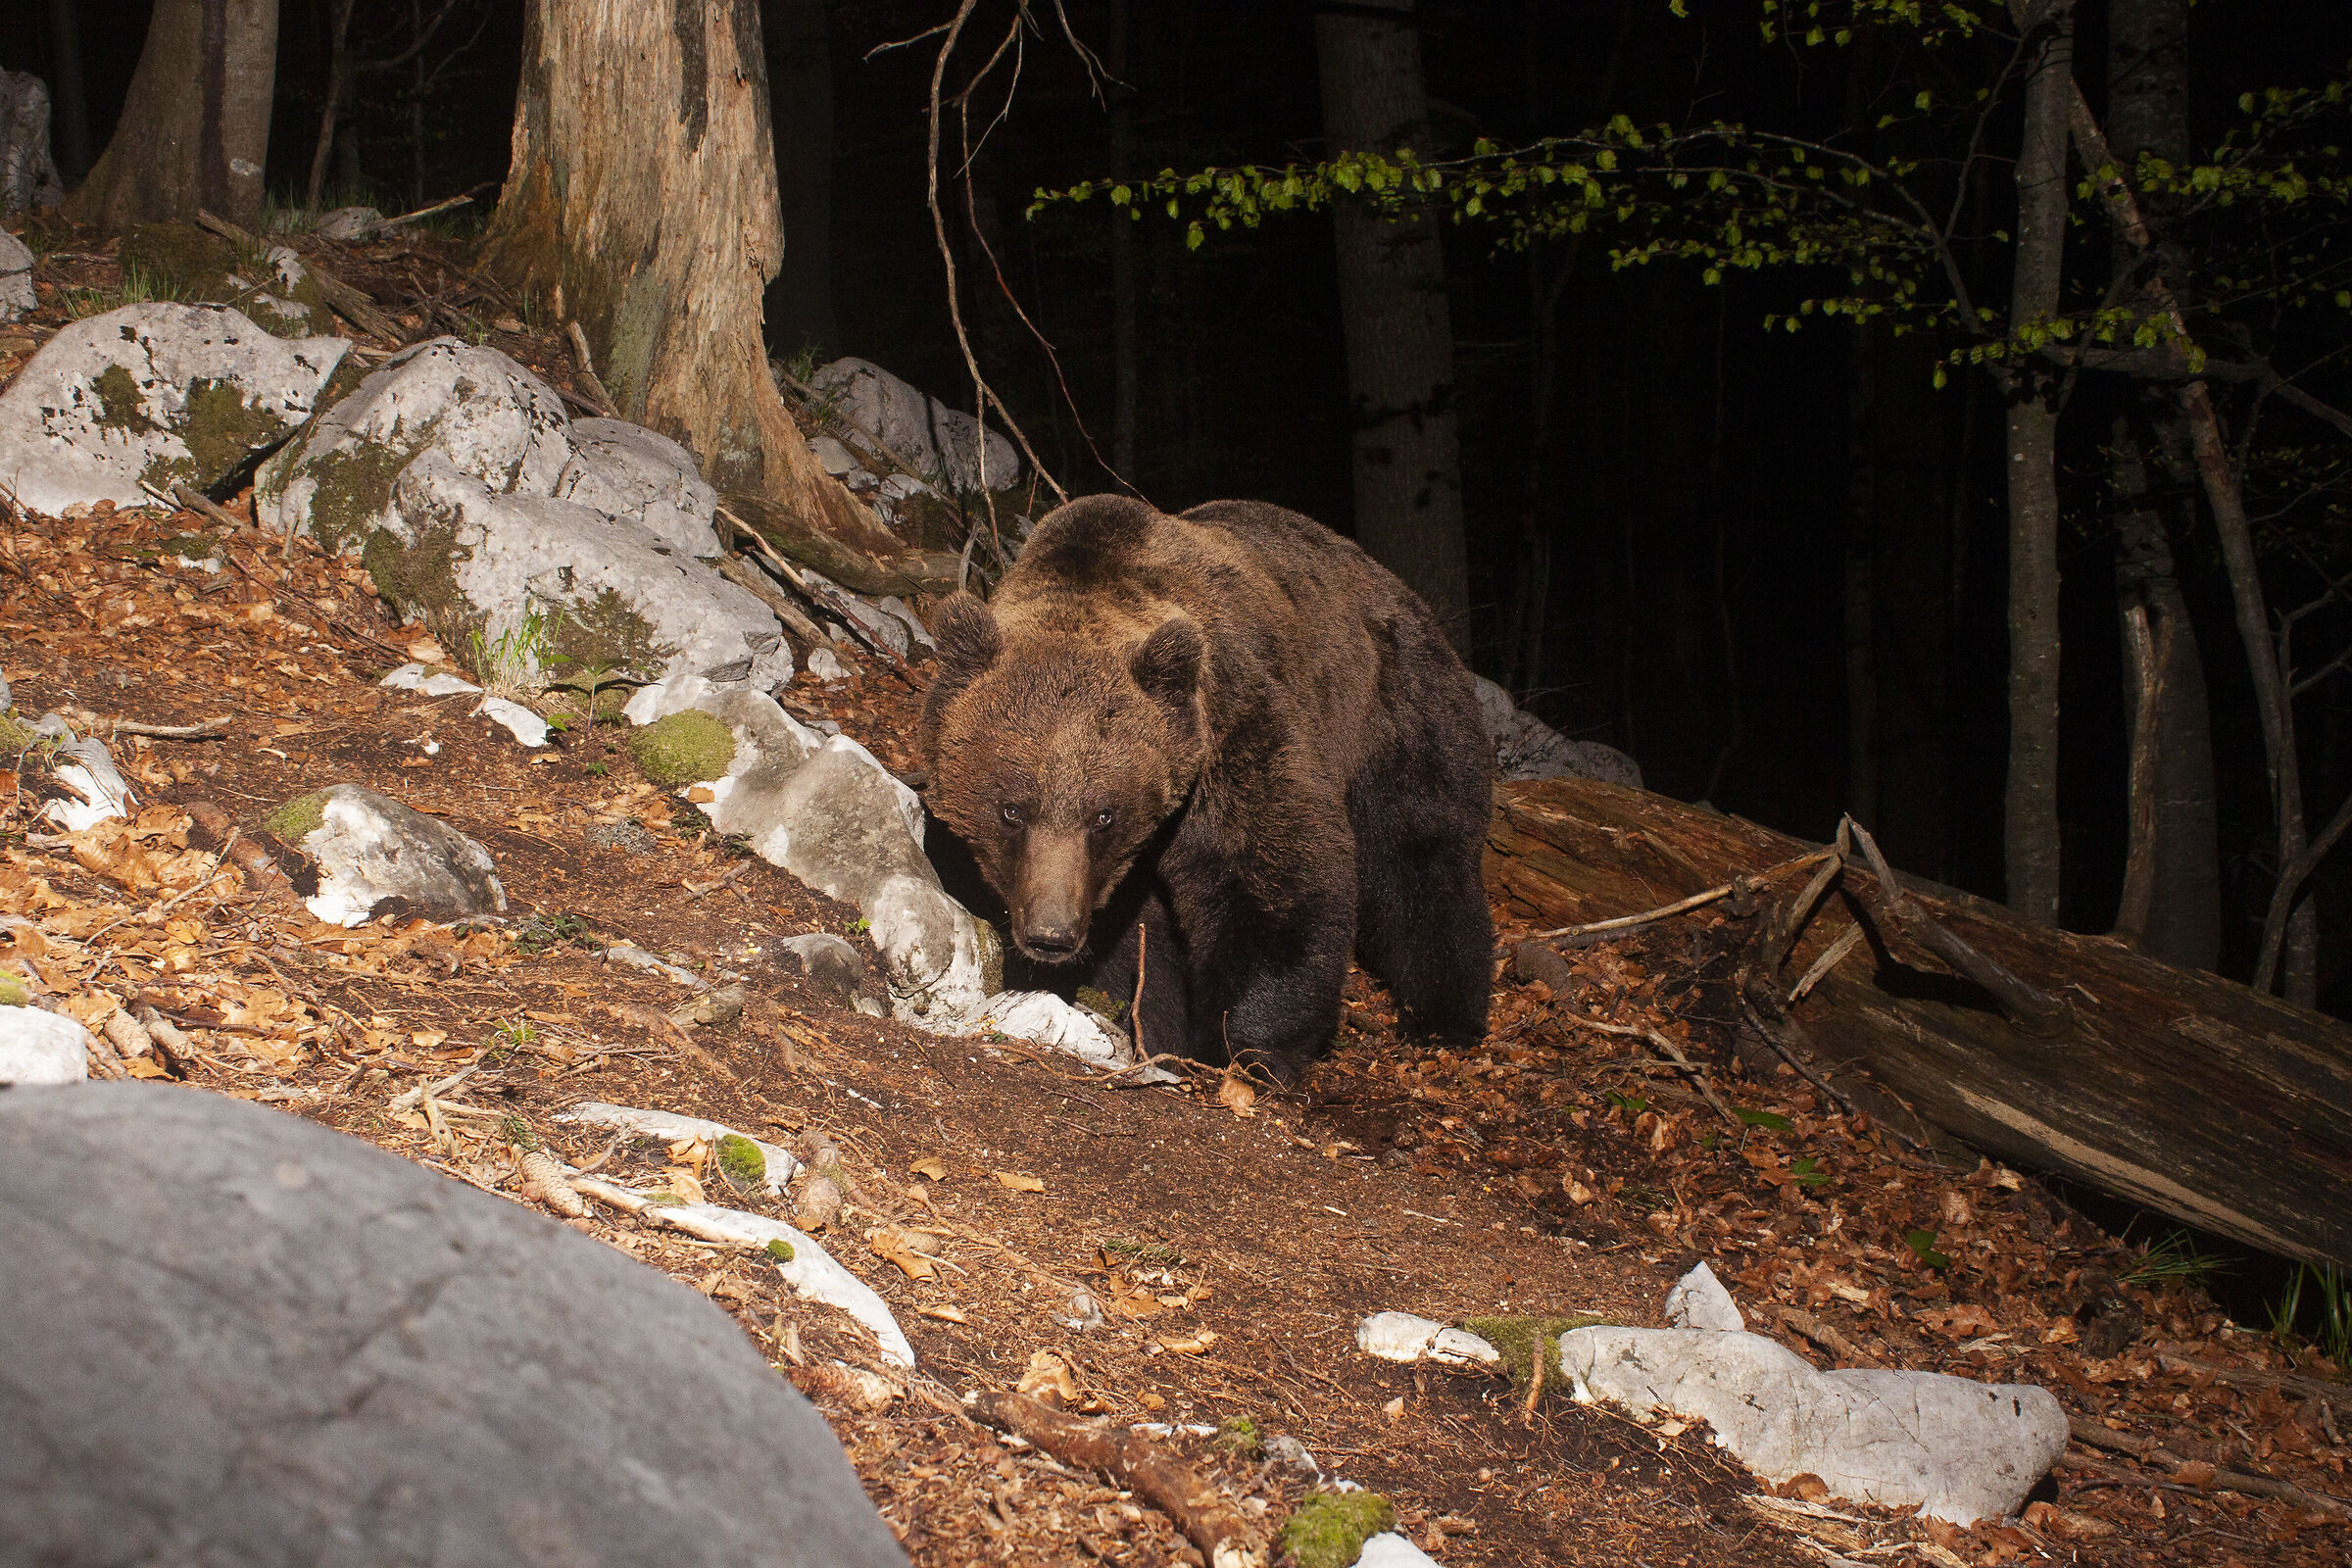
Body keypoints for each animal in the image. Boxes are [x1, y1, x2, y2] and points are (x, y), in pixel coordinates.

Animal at [920, 493, 1493, 1083]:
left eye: (1103, 815)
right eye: (1011, 810)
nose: (1050, 935)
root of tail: (1396, 587)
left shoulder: (1231, 728)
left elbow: (1271, 879)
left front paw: (1243, 1048)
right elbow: (1141, 949)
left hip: (1394, 711)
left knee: (1420, 858)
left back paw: (1443, 1019)